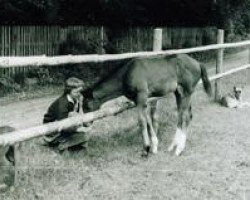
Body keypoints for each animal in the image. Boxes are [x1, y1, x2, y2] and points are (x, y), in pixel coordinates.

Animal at [81, 54, 211, 157]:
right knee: (183, 115)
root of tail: (198, 63)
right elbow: (148, 119)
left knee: (185, 116)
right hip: (178, 93)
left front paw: (146, 149)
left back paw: (179, 149)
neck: (126, 73)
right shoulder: (140, 101)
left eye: (86, 105)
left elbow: (141, 121)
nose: (85, 123)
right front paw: (154, 146)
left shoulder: (141, 96)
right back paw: (172, 146)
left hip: (187, 92)